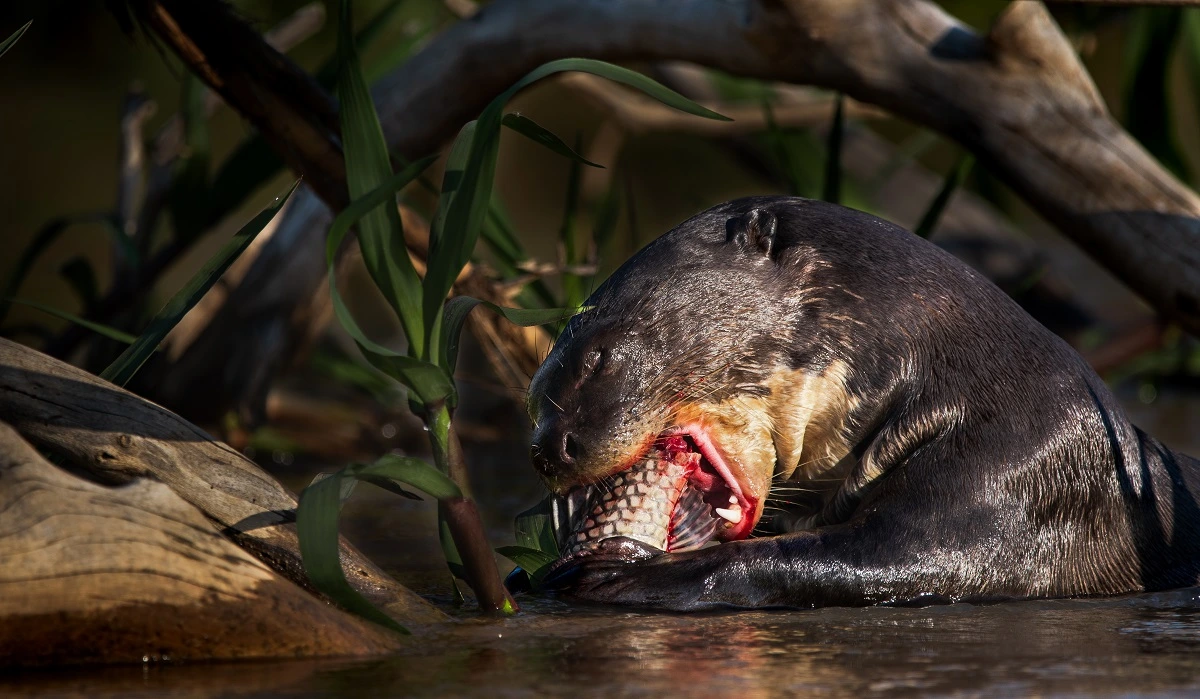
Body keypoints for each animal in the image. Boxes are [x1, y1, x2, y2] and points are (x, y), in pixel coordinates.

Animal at [530, 194, 1200, 610]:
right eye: (535, 390)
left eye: (598, 357)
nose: (546, 450)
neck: (962, 382)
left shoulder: (1024, 469)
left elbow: (914, 556)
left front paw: (626, 571)